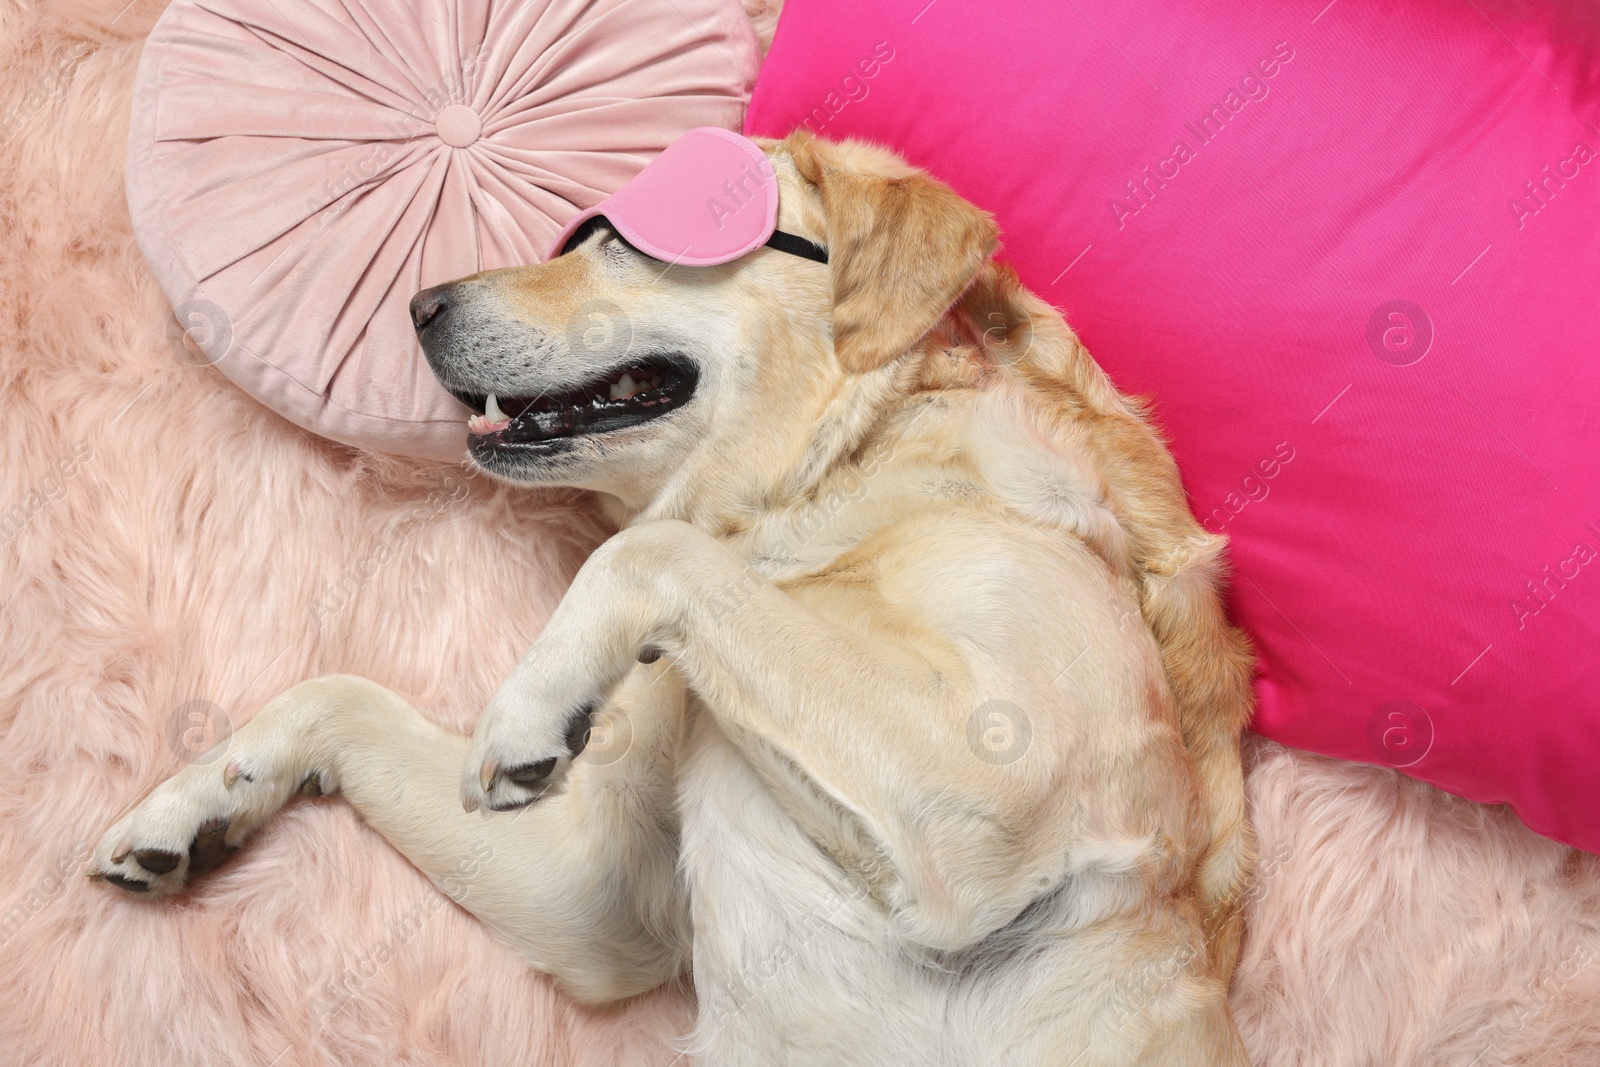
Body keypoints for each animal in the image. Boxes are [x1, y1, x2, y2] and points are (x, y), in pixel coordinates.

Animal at [90, 133, 1260, 1067]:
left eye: (621, 239)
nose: (416, 304)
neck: (821, 496)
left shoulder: (987, 793)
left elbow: (649, 548)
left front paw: (527, 703)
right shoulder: (589, 900)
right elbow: (340, 690)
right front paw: (202, 795)